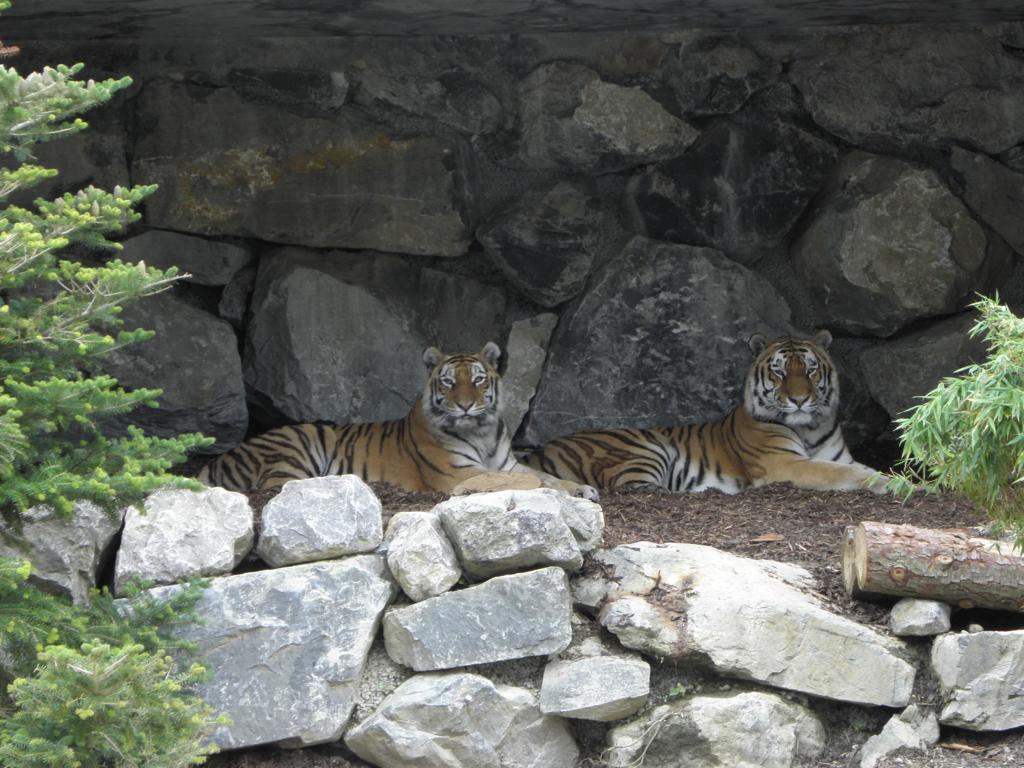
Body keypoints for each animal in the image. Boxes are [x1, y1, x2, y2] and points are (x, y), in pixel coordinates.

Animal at [198, 342, 598, 500]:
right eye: (449, 382)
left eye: (478, 380)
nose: (465, 406)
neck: (482, 433)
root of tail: (221, 457)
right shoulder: (457, 474)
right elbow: (525, 480)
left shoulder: (508, 464)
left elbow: (544, 475)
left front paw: (580, 489)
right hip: (297, 444)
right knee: (278, 487)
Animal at [523, 331, 887, 494]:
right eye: (779, 372)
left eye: (810, 370)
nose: (799, 400)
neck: (809, 429)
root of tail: (541, 449)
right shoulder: (782, 463)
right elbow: (838, 473)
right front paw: (883, 482)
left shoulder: (838, 455)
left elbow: (851, 467)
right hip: (645, 449)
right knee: (634, 486)